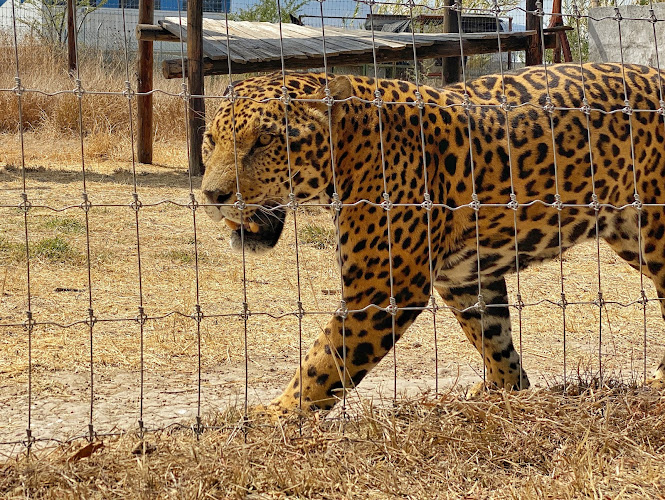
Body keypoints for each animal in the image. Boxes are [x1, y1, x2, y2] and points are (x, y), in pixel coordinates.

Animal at [200, 62, 664, 412]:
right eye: (210, 139)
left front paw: (273, 415)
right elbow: (493, 337)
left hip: (655, 235)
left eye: (265, 140)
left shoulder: (383, 286)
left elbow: (325, 360)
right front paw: (504, 392)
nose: (213, 196)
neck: (350, 153)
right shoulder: (464, 277)